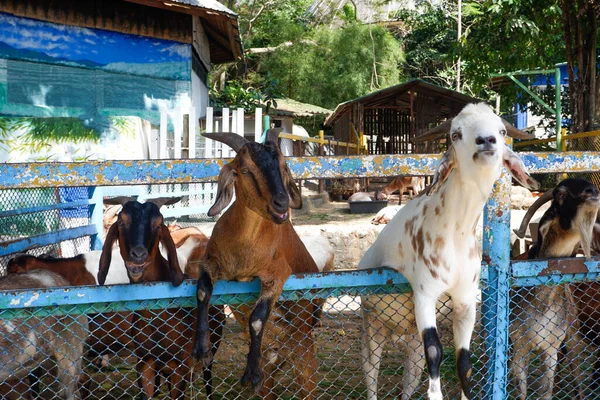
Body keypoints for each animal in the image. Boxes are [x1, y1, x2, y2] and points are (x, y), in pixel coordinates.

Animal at [192, 130, 324, 398]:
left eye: (284, 166)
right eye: (245, 170)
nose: (281, 203)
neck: (245, 252)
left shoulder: (279, 273)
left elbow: (257, 317)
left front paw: (251, 373)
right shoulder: (210, 262)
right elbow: (202, 291)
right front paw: (202, 349)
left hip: (304, 349)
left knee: (309, 384)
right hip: (275, 365)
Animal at [356, 103, 540, 400]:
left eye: (502, 131)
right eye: (455, 134)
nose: (486, 141)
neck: (454, 233)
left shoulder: (465, 299)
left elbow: (464, 361)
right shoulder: (425, 294)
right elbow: (435, 351)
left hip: (410, 344)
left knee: (409, 377)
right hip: (371, 328)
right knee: (371, 372)